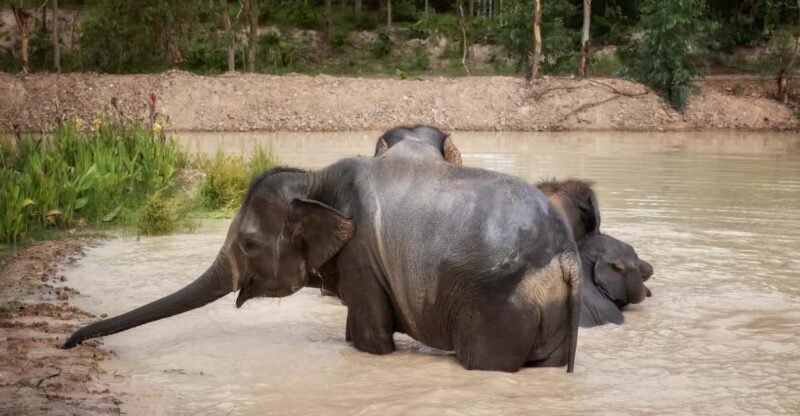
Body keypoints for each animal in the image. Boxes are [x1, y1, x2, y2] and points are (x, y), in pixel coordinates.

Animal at [63, 156, 582, 373]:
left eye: (248, 243)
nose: (67, 342)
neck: (316, 179)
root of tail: (568, 256)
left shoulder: (362, 257)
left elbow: (372, 341)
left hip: (499, 307)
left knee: (486, 363)